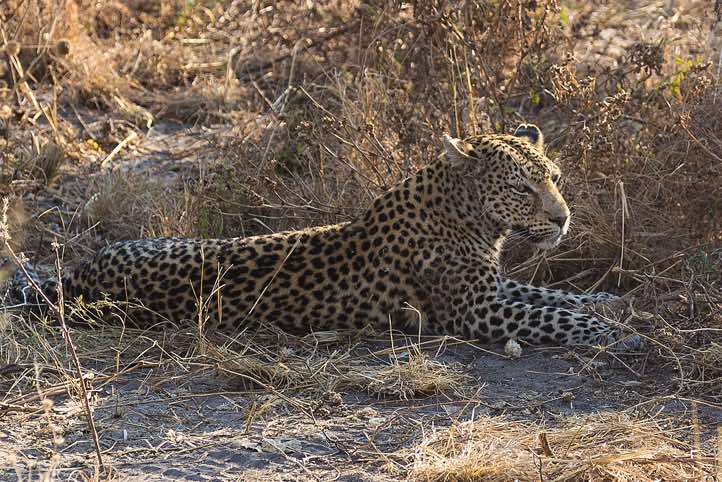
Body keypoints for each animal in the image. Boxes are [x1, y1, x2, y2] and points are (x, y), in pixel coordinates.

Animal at [43, 124, 640, 349]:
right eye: (521, 188)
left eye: (554, 178)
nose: (563, 219)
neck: (468, 216)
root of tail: (77, 275)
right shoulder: (474, 309)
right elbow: (554, 317)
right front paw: (617, 333)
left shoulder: (494, 288)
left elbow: (556, 296)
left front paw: (614, 305)